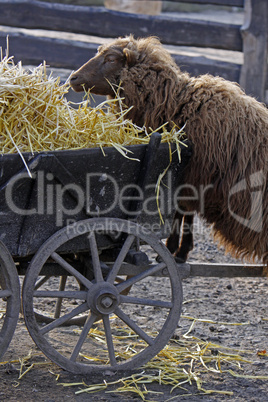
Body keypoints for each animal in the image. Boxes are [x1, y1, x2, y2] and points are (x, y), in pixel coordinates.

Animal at [70, 35, 268, 266]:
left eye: (110, 58)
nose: (73, 78)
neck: (176, 104)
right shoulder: (185, 174)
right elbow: (182, 212)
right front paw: (176, 249)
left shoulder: (193, 174)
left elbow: (183, 211)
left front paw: (178, 250)